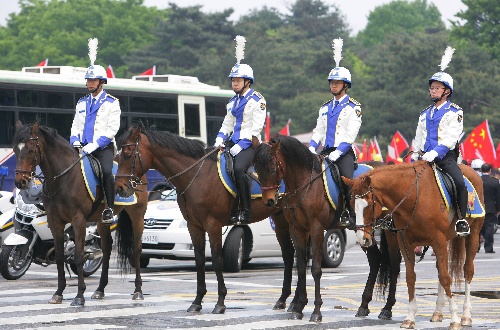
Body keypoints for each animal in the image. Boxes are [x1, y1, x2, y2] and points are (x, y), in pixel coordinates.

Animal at [12, 122, 147, 306]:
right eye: (15, 149)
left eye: (31, 149)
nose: (21, 182)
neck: (62, 178)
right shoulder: (55, 221)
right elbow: (59, 256)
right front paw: (59, 293)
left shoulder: (78, 220)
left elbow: (78, 255)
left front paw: (79, 295)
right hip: (101, 220)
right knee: (106, 248)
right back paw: (100, 290)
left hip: (137, 214)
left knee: (136, 248)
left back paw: (138, 290)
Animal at [114, 124, 296, 314]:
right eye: (118, 155)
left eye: (127, 154)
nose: (119, 188)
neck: (197, 175)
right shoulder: (194, 226)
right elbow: (200, 259)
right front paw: (197, 301)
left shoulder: (213, 225)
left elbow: (216, 260)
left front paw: (220, 302)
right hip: (280, 218)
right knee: (288, 253)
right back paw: (282, 299)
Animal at [252, 135, 400, 324]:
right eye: (256, 168)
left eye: (272, 169)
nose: (269, 201)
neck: (305, 185)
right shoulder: (297, 229)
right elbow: (301, 267)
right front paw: (298, 308)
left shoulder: (316, 229)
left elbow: (315, 269)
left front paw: (316, 311)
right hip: (364, 231)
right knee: (375, 259)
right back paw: (363, 305)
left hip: (390, 230)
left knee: (394, 264)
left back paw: (387, 309)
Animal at [344, 161, 484, 328]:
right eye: (352, 203)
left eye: (369, 204)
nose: (362, 239)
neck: (413, 198)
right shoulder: (406, 242)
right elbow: (411, 278)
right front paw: (410, 317)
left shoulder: (438, 240)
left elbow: (445, 277)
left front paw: (455, 319)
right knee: (441, 269)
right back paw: (437, 312)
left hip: (473, 234)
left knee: (467, 270)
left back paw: (466, 316)